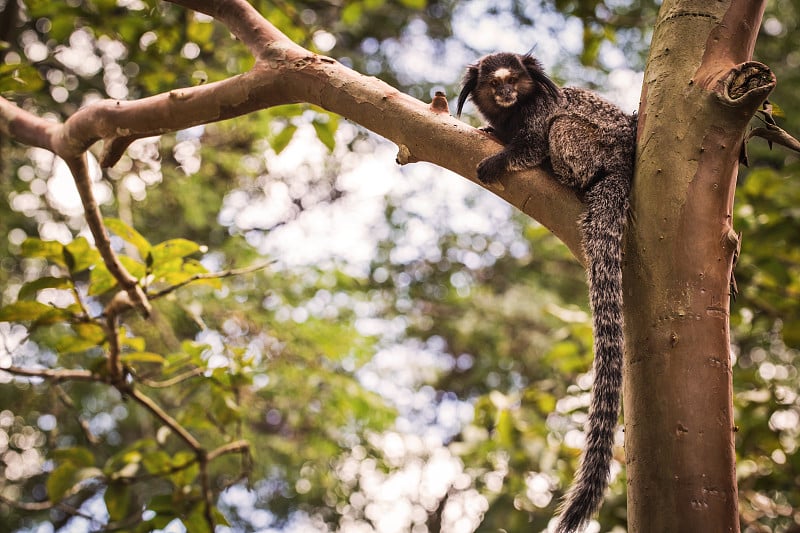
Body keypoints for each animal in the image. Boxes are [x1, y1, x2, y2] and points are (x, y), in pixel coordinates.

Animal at [456, 51, 636, 532]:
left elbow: (535, 141)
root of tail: (626, 167)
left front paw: (500, 159)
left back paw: (573, 178)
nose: (505, 92)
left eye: (515, 79)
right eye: (494, 83)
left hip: (595, 147)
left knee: (564, 129)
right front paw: (490, 132)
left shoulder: (539, 113)